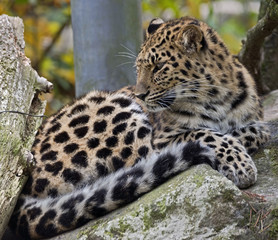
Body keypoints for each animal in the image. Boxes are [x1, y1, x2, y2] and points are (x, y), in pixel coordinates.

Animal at [10, 15, 270, 239]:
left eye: (159, 67)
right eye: (139, 68)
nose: (139, 95)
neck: (217, 97)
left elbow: (254, 129)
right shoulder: (163, 138)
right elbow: (206, 133)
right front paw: (240, 163)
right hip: (114, 110)